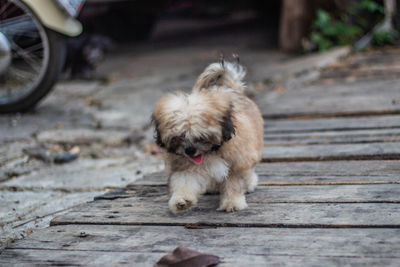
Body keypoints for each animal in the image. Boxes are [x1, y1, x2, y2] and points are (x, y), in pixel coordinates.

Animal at [152, 58, 264, 214]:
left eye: (202, 136)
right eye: (178, 137)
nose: (190, 150)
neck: (211, 152)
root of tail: (232, 88)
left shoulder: (236, 162)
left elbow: (233, 183)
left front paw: (232, 202)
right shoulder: (184, 166)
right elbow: (184, 181)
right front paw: (182, 200)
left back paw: (249, 183)